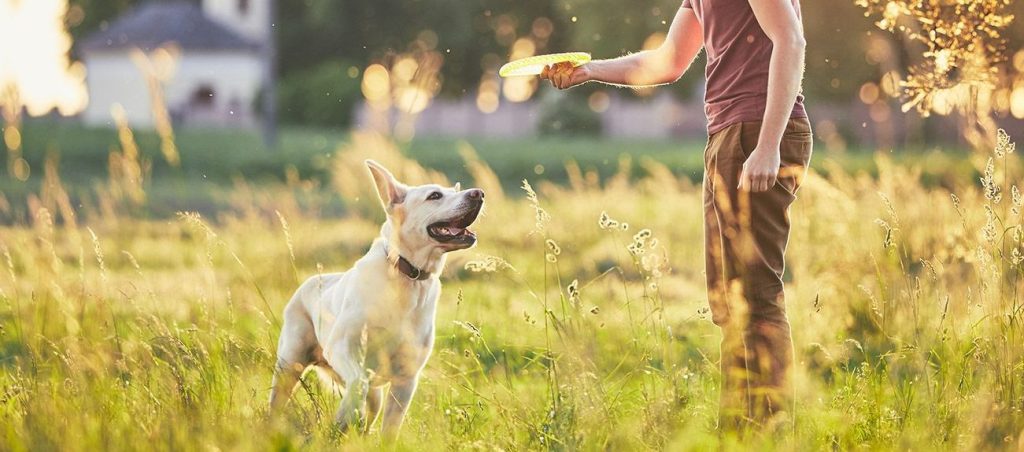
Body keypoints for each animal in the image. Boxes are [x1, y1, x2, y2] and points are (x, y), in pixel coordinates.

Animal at [268, 159, 483, 436]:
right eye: (434, 195)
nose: (478, 193)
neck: (407, 277)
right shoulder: (342, 347)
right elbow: (358, 381)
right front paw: (347, 413)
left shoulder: (406, 379)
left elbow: (389, 430)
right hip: (289, 365)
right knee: (279, 401)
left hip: (375, 395)